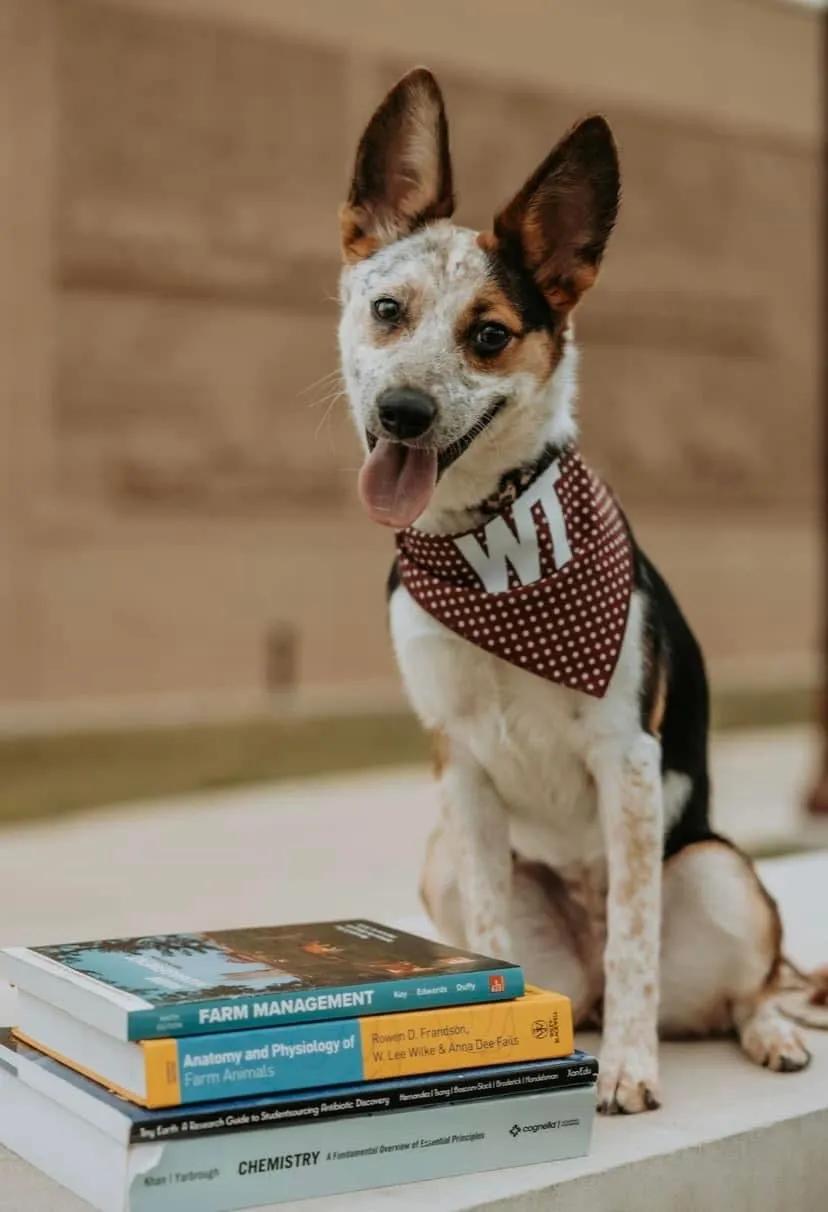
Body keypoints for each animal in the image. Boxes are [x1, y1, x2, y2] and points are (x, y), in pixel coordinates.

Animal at [334, 63, 824, 1110]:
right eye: (388, 310)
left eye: (488, 335)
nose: (402, 411)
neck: (489, 547)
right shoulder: (462, 774)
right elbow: (486, 934)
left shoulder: (626, 762)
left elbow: (637, 941)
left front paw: (631, 1072)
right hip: (446, 861)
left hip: (719, 869)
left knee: (743, 984)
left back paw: (761, 1033)